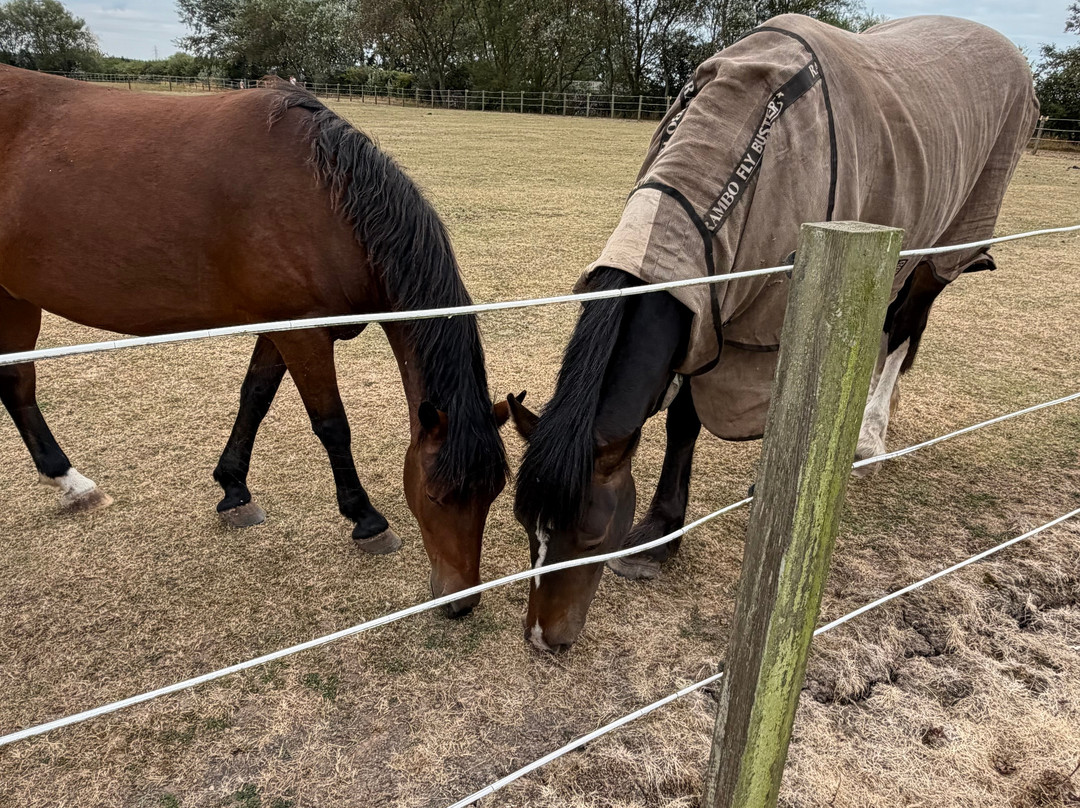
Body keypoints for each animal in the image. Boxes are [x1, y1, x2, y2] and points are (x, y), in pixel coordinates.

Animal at [0, 68, 511, 616]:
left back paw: (70, 484)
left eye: (493, 493)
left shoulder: (280, 328)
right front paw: (366, 520)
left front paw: (233, 489)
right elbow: (332, 425)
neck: (325, 199)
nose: (461, 602)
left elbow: (255, 398)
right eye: (435, 495)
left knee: (16, 384)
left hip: (13, 296)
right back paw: (69, 480)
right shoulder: (302, 331)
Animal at [506, 15, 1038, 650]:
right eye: (527, 529)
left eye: (588, 537)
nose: (544, 639)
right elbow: (684, 420)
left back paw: (868, 439)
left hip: (945, 248)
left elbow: (743, 411)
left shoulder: (771, 324)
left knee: (904, 330)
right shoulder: (710, 318)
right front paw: (661, 532)